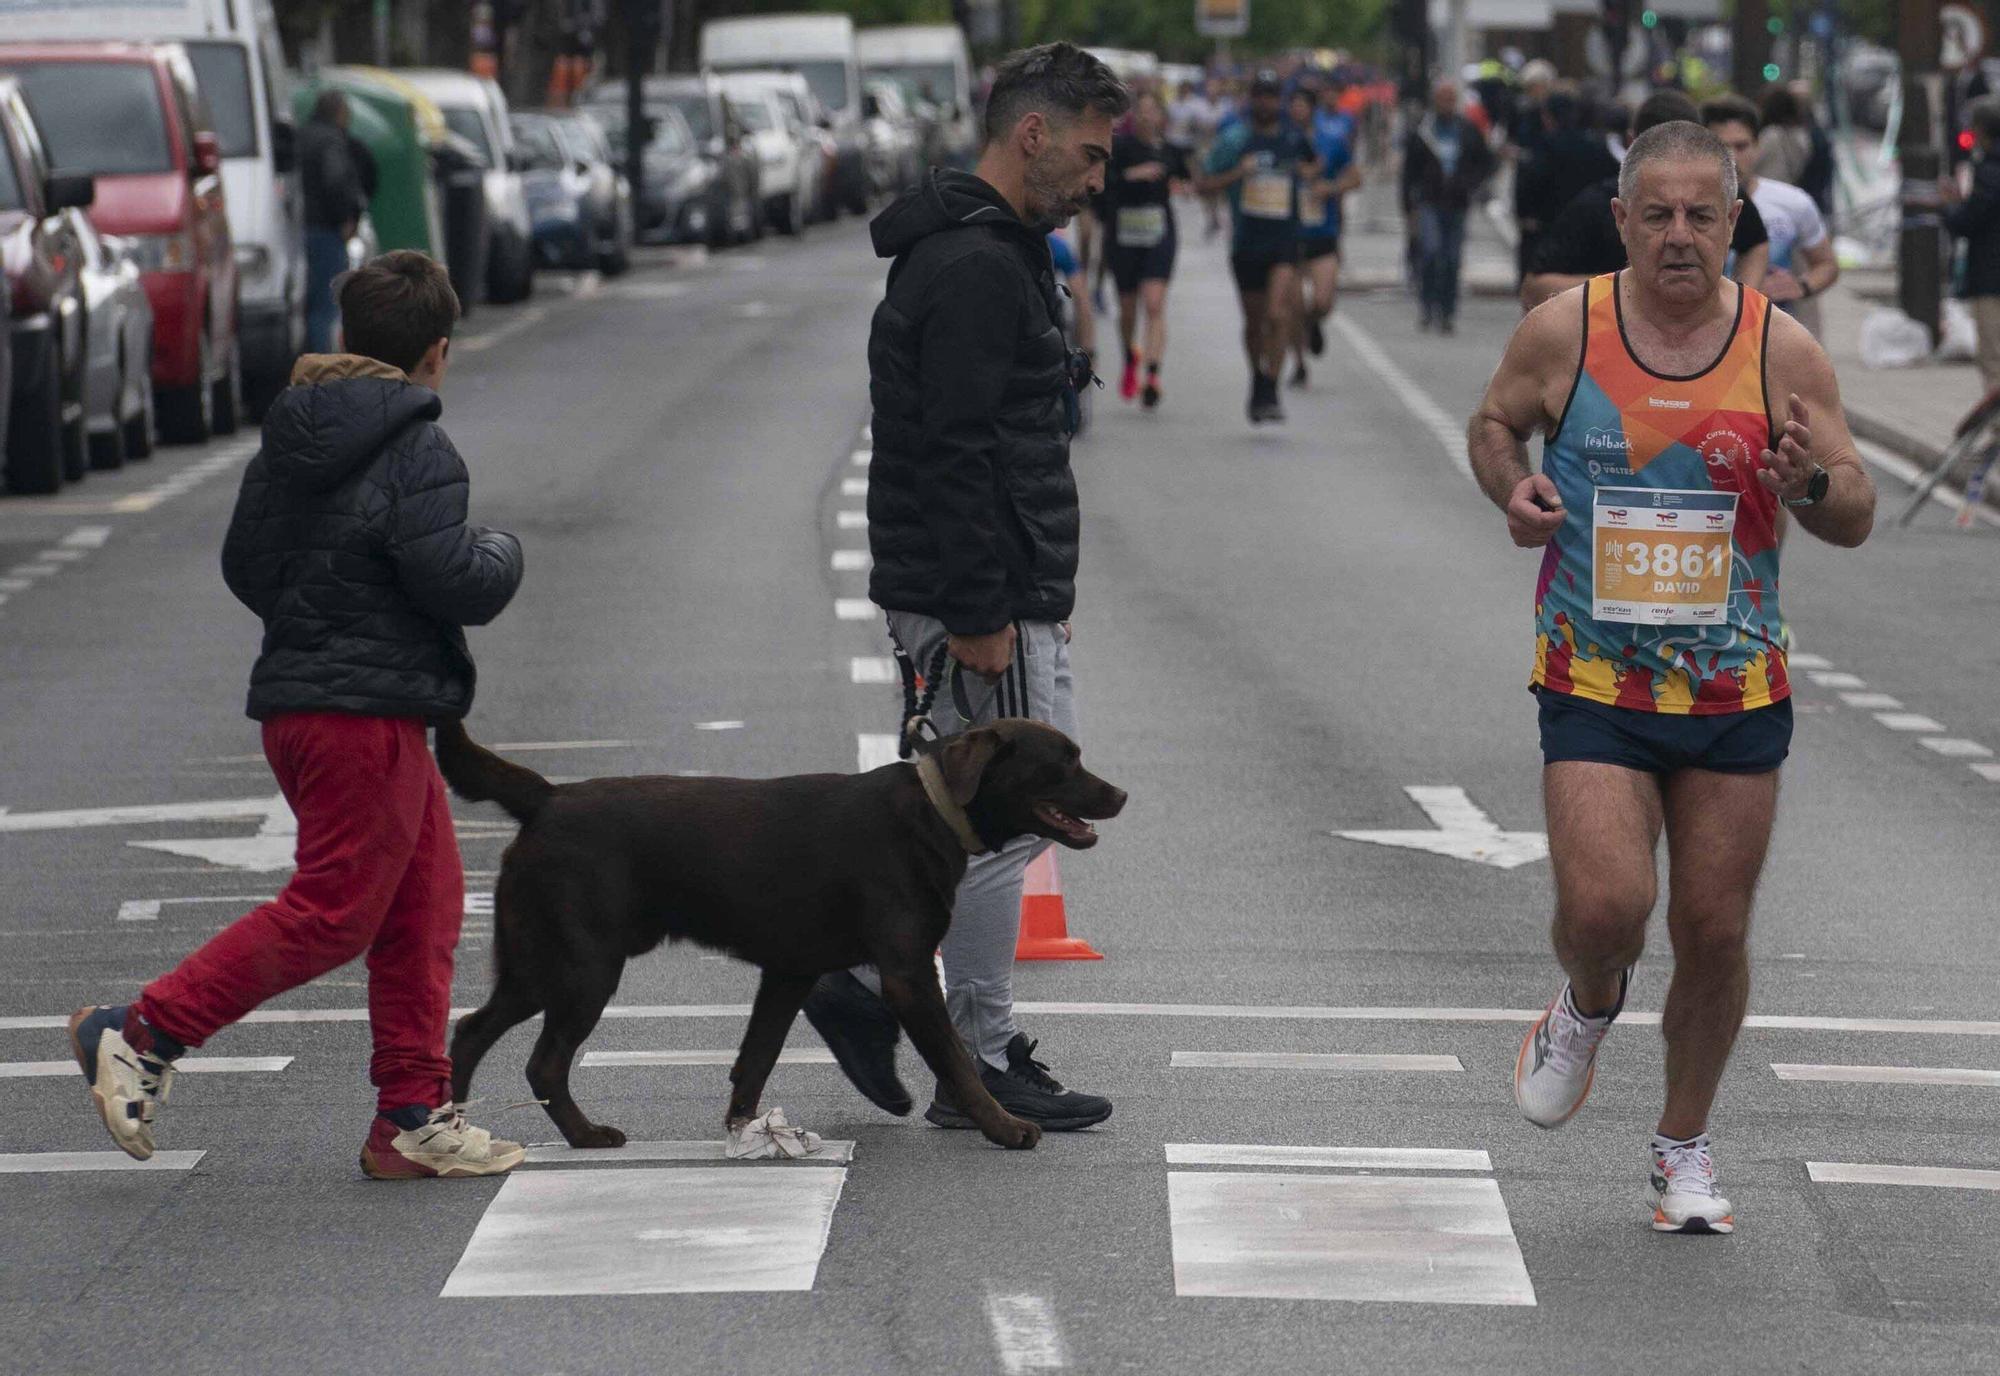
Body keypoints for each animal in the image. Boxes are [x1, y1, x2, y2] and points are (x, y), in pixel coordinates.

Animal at [440, 720, 1128, 1152]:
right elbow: (958, 1061)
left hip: (535, 965)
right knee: (543, 1062)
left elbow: (756, 1060)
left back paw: (447, 1130)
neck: (934, 811)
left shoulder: (789, 972)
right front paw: (1006, 1128)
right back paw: (581, 1137)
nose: (1121, 793)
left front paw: (748, 1135)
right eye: (1065, 760)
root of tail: (546, 798)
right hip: (582, 967)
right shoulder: (908, 975)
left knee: (469, 1030)